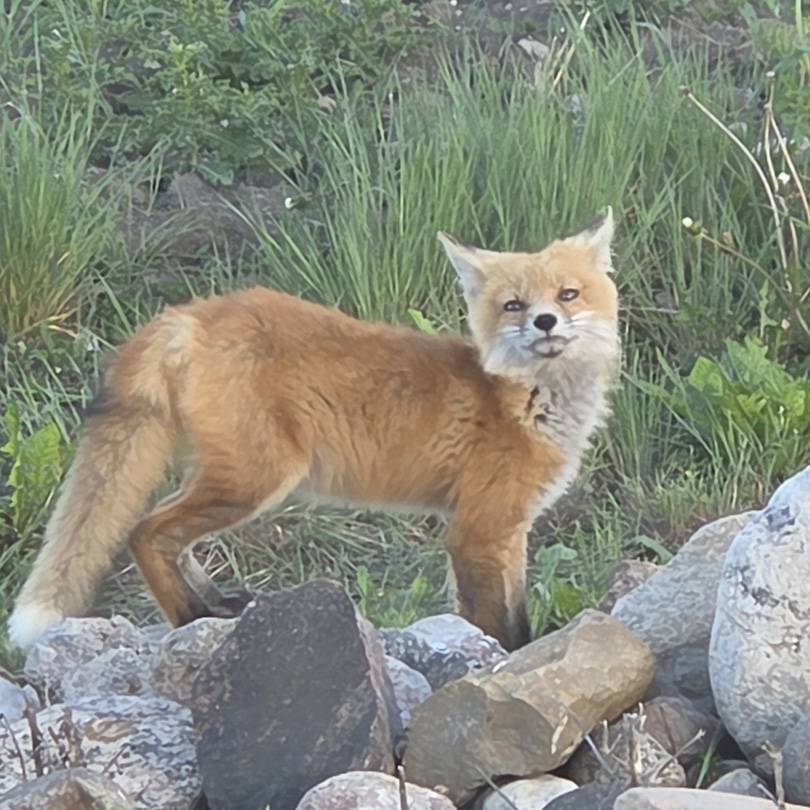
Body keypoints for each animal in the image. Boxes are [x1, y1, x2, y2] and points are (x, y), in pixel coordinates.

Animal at [8, 209, 620, 652]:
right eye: (514, 305)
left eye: (568, 294)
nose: (545, 322)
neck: (522, 401)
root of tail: (187, 312)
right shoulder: (479, 530)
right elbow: (503, 626)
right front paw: (506, 661)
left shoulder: (508, 532)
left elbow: (507, 612)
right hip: (254, 479)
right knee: (146, 533)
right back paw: (190, 618)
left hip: (229, 478)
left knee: (167, 539)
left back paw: (215, 607)